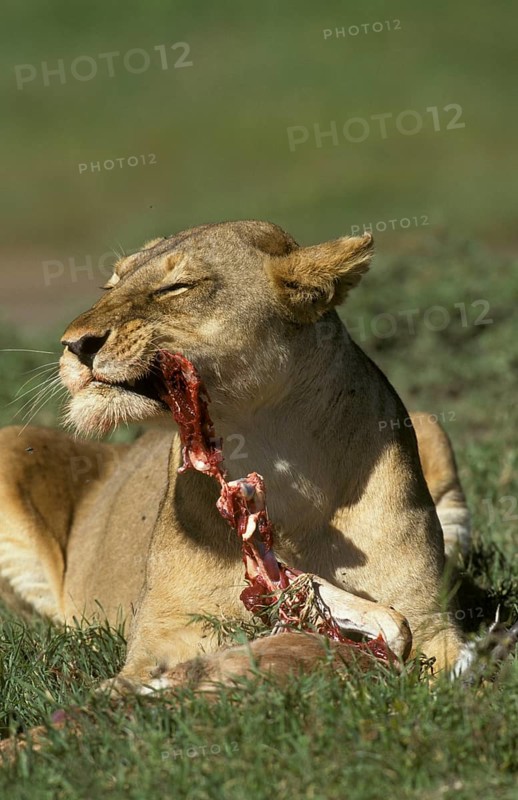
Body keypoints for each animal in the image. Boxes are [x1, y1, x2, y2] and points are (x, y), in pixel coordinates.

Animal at [0, 220, 476, 691]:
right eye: (110, 285)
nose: (74, 345)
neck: (280, 462)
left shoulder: (431, 622)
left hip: (432, 426)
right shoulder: (161, 632)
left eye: (176, 287)